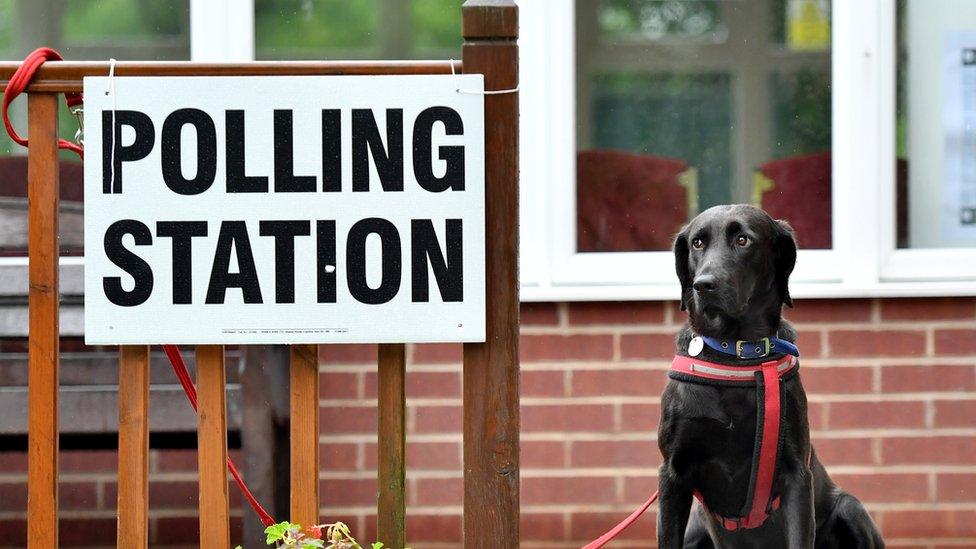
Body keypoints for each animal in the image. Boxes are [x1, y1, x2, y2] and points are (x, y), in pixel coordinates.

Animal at [660, 206, 880, 548]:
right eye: (697, 243)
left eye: (743, 240)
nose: (703, 285)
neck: (735, 354)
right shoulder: (673, 474)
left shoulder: (796, 474)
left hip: (850, 507)